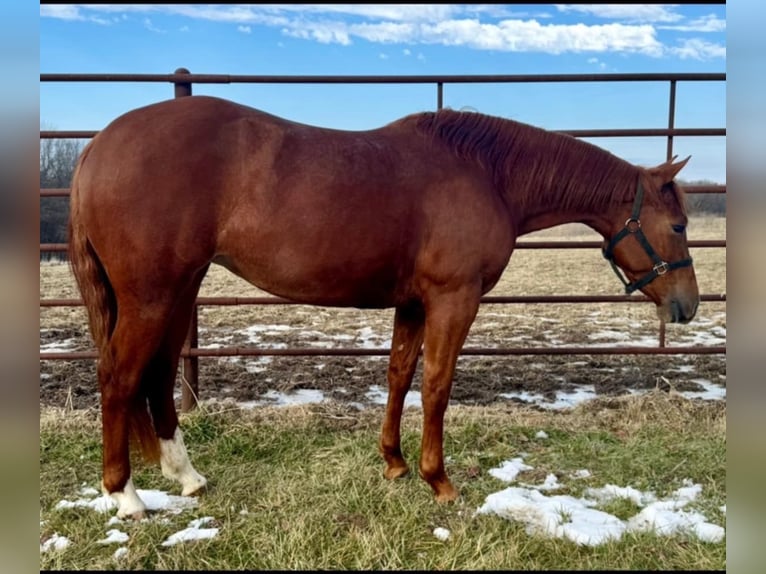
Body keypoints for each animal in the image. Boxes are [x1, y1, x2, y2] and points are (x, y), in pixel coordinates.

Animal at [69, 97, 700, 520]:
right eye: (678, 225)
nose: (688, 306)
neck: (486, 175)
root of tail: (99, 144)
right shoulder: (453, 299)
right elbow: (437, 386)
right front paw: (439, 481)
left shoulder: (413, 305)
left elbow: (399, 374)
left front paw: (394, 463)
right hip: (152, 296)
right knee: (119, 378)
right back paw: (125, 495)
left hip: (178, 290)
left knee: (155, 377)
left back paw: (187, 477)